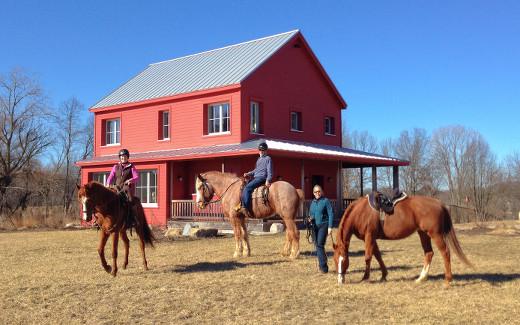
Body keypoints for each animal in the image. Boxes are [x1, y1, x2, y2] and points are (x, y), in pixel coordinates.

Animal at [334, 194, 472, 284]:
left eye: (344, 260)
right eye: (335, 260)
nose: (340, 280)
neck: (360, 212)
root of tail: (439, 203)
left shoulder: (369, 236)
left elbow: (368, 256)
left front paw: (365, 277)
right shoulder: (371, 238)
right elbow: (378, 255)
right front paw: (384, 275)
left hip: (435, 234)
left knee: (445, 252)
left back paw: (448, 279)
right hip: (423, 234)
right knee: (429, 253)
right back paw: (421, 278)